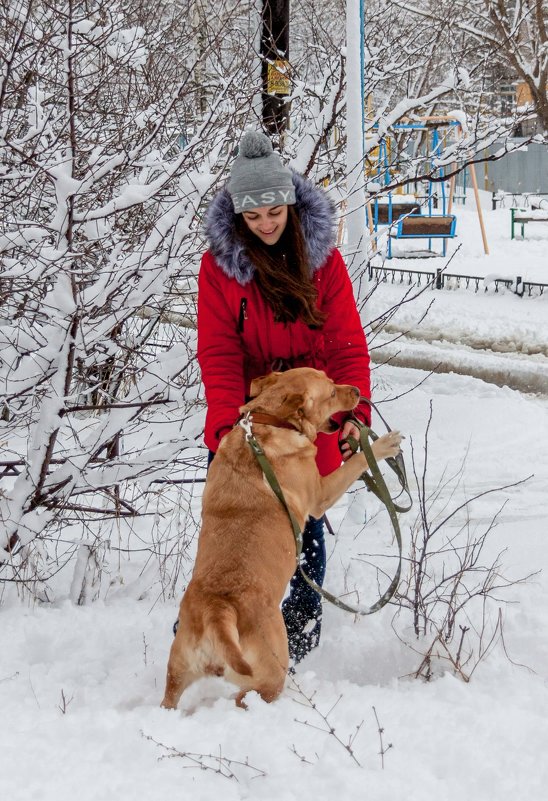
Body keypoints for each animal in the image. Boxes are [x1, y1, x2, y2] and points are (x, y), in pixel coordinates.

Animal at [161, 366, 400, 708]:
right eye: (331, 392)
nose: (356, 390)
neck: (269, 421)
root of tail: (219, 610)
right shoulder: (321, 495)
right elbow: (355, 462)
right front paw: (383, 446)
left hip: (177, 673)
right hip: (270, 674)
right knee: (247, 698)